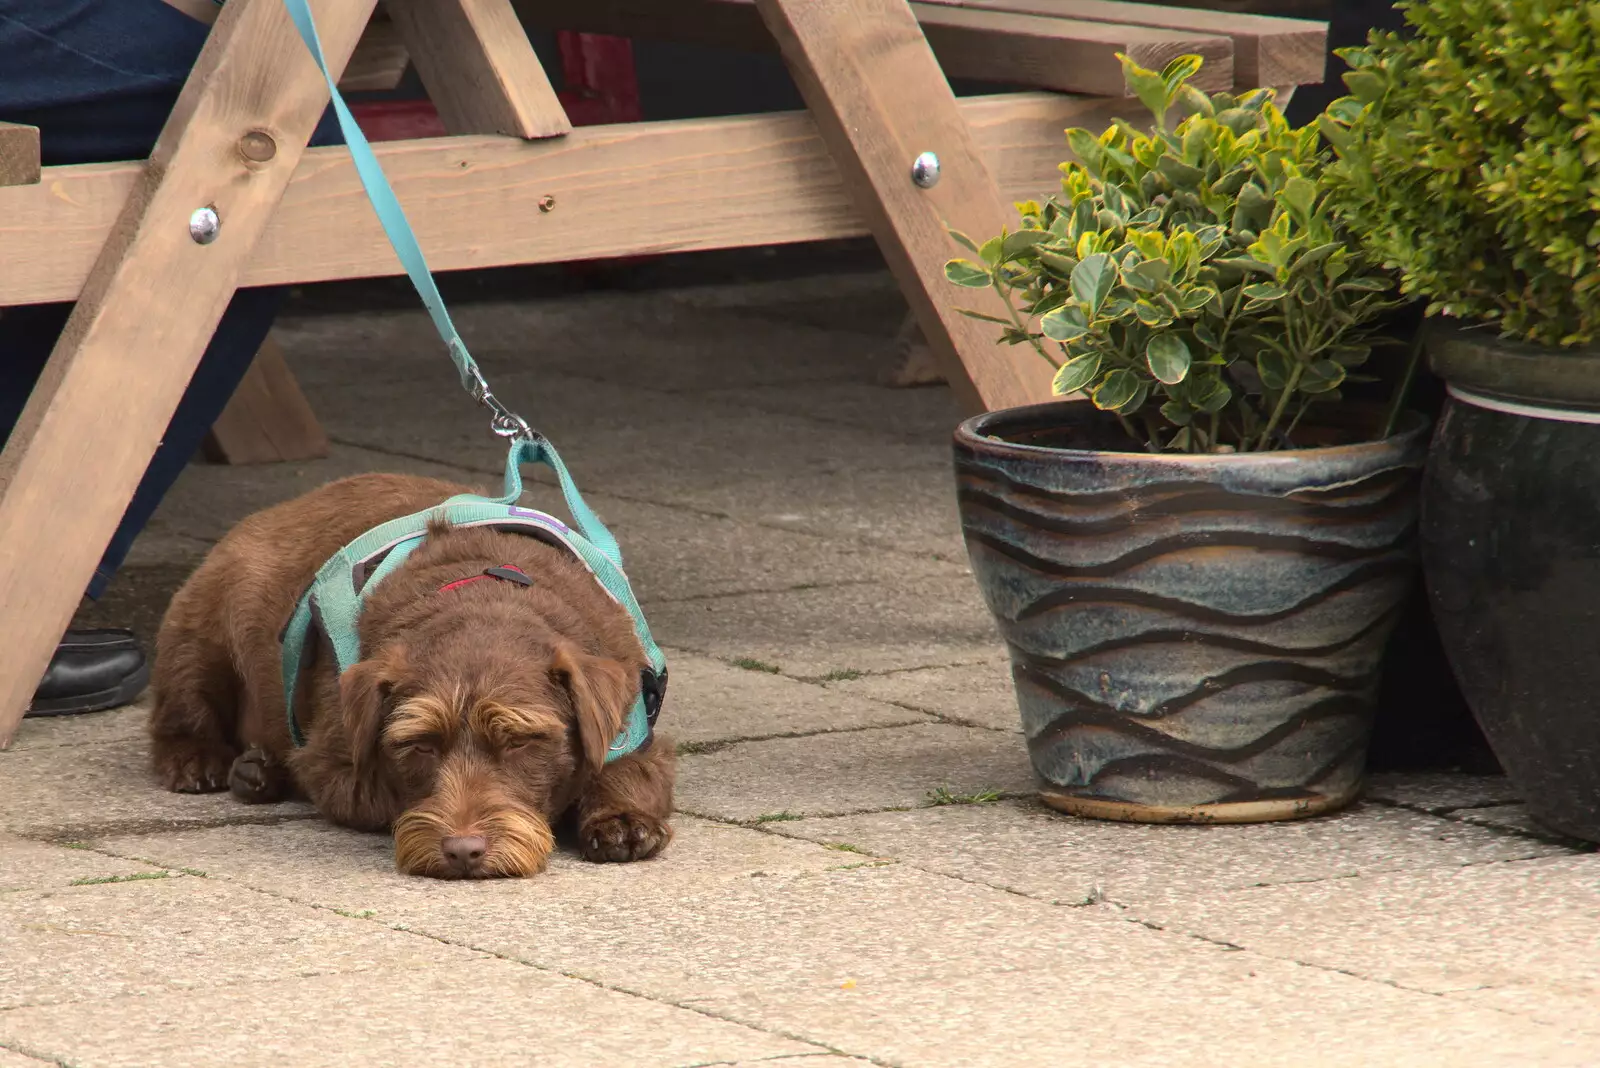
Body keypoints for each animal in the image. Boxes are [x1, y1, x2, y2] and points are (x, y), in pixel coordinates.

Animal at [147, 476, 672, 876]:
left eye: (520, 741)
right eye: (418, 744)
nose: (463, 852)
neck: (485, 595)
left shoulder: (632, 718)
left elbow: (630, 767)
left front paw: (620, 816)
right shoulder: (331, 761)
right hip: (203, 622)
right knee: (182, 701)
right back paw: (206, 759)